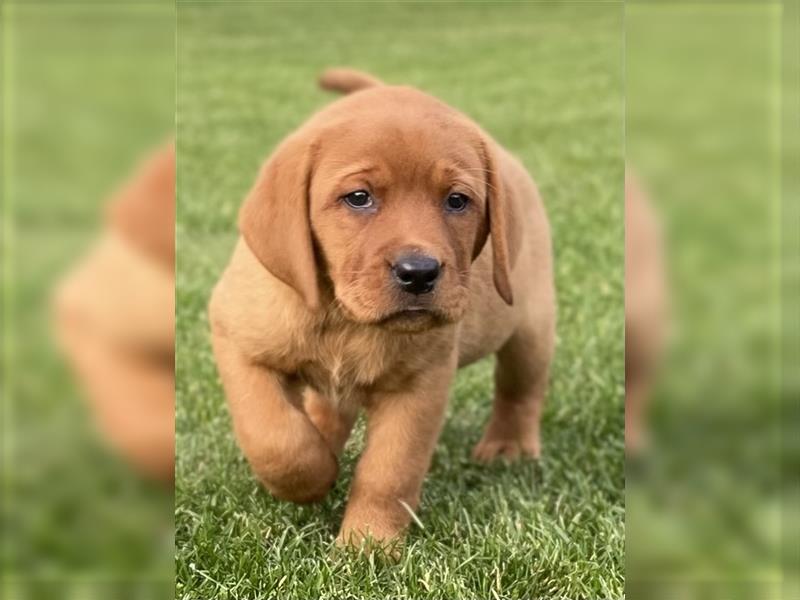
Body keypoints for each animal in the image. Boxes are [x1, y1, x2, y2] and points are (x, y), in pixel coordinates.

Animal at [208, 68, 556, 548]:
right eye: (359, 197)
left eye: (457, 200)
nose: (420, 273)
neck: (344, 316)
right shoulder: (237, 339)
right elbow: (276, 438)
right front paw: (314, 479)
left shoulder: (420, 387)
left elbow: (389, 472)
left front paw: (366, 546)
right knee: (327, 410)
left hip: (530, 328)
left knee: (519, 390)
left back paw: (509, 448)